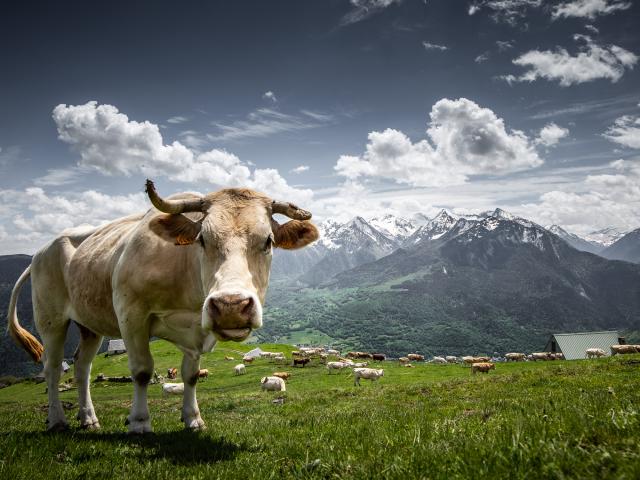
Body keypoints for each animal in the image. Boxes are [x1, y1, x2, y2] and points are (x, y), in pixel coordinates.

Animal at [7, 180, 318, 433]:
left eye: (268, 241)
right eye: (202, 239)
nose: (230, 306)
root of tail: (41, 251)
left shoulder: (195, 331)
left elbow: (191, 375)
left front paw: (193, 418)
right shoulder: (130, 314)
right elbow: (142, 370)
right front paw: (139, 422)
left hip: (89, 324)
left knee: (82, 367)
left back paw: (89, 419)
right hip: (50, 318)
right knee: (53, 368)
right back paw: (57, 420)